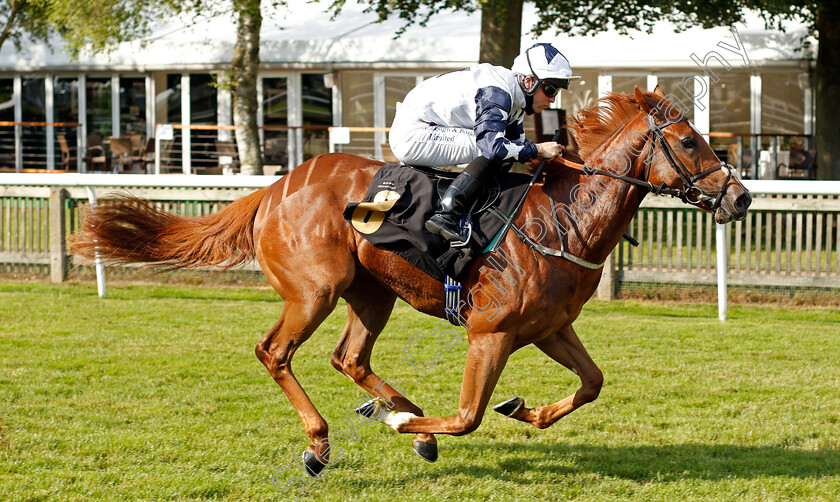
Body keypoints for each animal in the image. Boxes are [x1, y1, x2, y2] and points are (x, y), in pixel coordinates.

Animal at [72, 86, 752, 474]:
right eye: (690, 141)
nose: (741, 198)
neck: (563, 220)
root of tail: (275, 186)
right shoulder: (491, 333)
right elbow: (468, 415)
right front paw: (412, 426)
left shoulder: (548, 328)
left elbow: (591, 384)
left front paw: (523, 410)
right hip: (315, 290)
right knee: (275, 351)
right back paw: (326, 439)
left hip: (371, 293)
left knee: (348, 357)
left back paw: (394, 409)